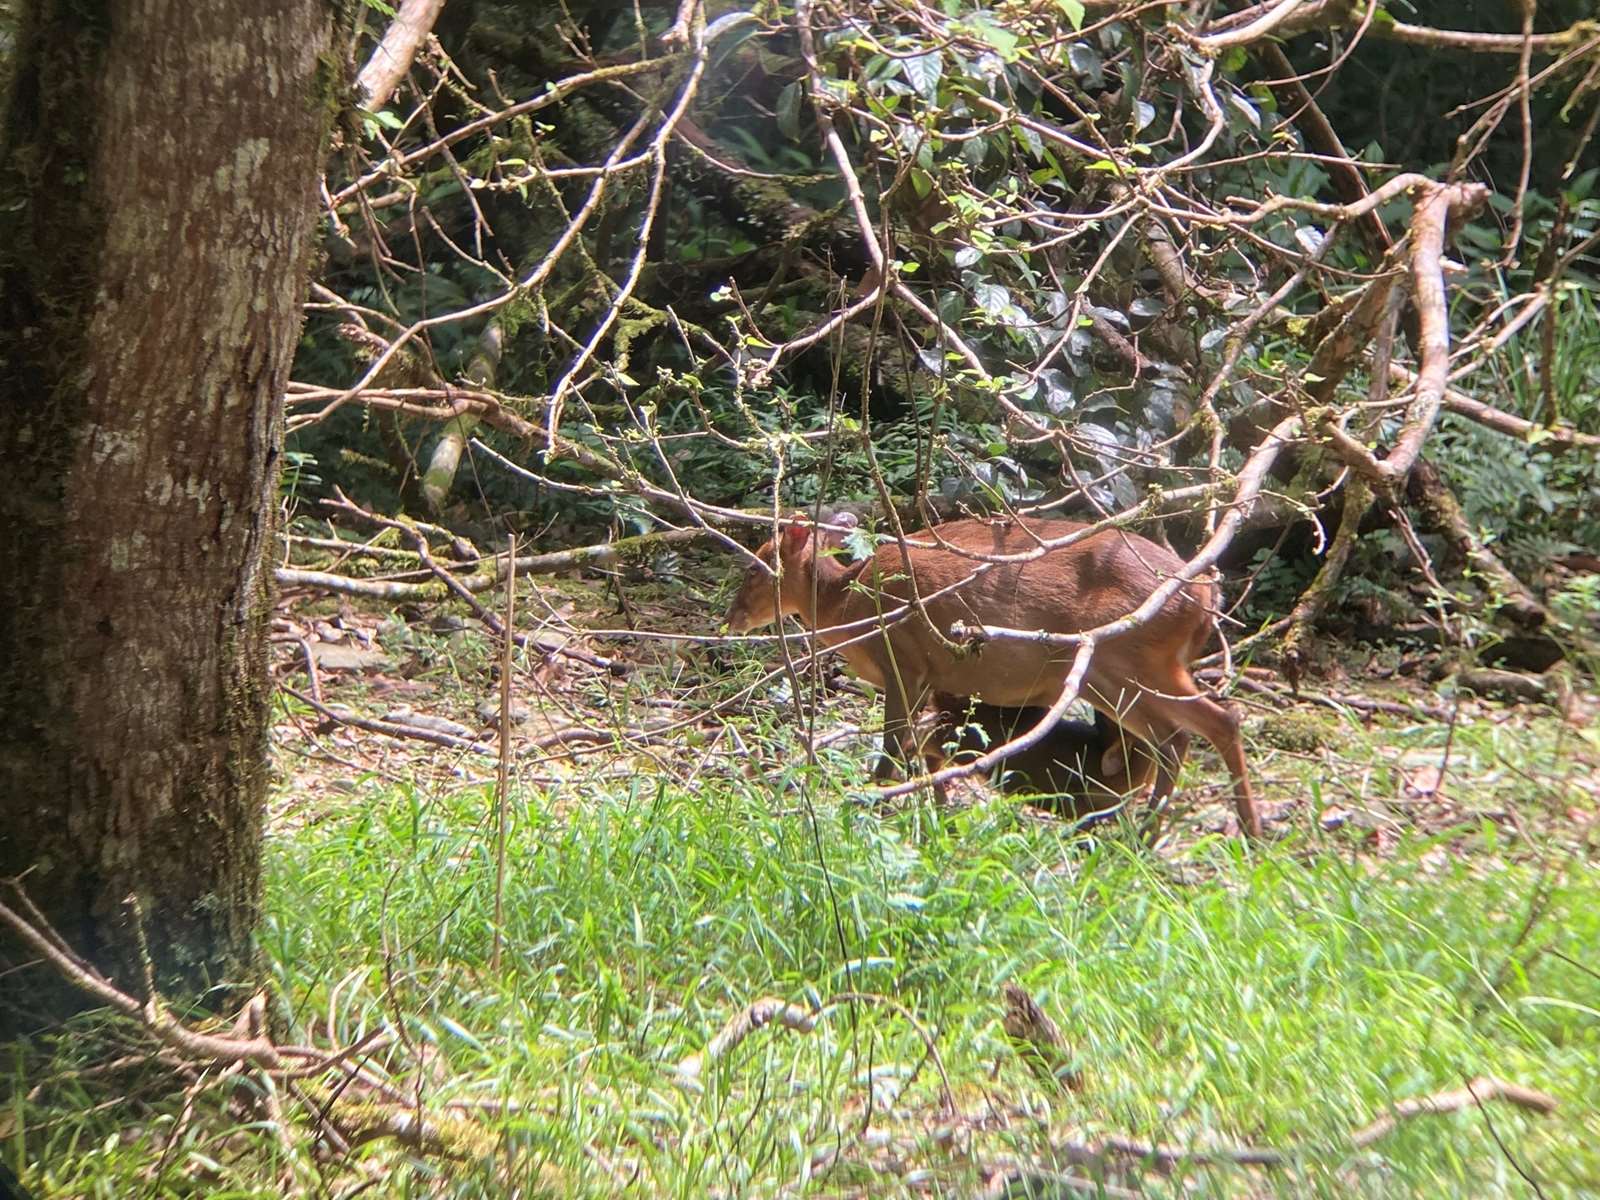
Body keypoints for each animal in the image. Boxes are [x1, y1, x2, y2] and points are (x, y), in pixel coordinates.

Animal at [726, 512, 1260, 838]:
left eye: (755, 567)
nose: (732, 617)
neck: (848, 605)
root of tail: (1208, 596)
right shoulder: (934, 679)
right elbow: (924, 745)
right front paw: (937, 813)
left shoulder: (905, 661)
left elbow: (896, 746)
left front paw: (873, 804)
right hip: (1115, 673)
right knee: (1176, 735)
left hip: (1126, 659)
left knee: (1213, 722)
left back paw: (1234, 833)